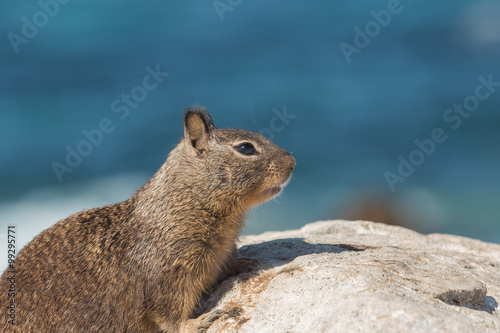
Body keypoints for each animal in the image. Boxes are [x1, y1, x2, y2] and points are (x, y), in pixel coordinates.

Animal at [0, 107, 294, 330]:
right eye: (246, 148)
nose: (293, 163)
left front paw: (243, 263)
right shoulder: (169, 273)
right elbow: (169, 313)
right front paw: (197, 322)